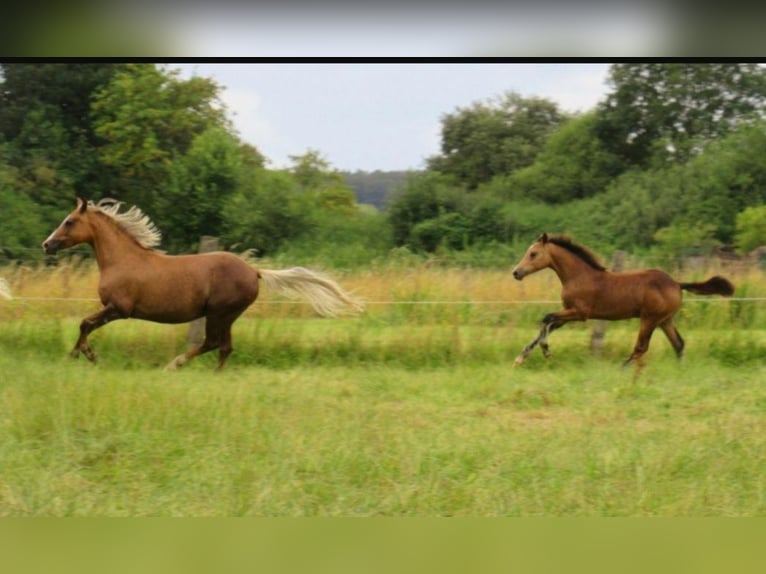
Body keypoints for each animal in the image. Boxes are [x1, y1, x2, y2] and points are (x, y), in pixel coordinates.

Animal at [42, 200, 366, 372]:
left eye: (69, 221)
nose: (47, 244)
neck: (123, 260)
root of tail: (253, 270)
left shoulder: (119, 309)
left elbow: (85, 323)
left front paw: (84, 355)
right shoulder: (113, 310)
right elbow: (85, 324)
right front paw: (79, 354)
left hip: (218, 313)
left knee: (212, 343)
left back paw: (174, 365)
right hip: (228, 316)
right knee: (225, 346)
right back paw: (214, 374)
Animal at [512, 235, 736, 374]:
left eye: (533, 254)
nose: (516, 272)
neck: (578, 276)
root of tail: (677, 283)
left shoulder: (579, 313)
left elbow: (547, 318)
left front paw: (546, 351)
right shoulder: (568, 313)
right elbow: (547, 324)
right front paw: (521, 358)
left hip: (649, 319)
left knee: (641, 347)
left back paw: (620, 370)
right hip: (665, 320)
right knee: (679, 344)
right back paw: (680, 371)